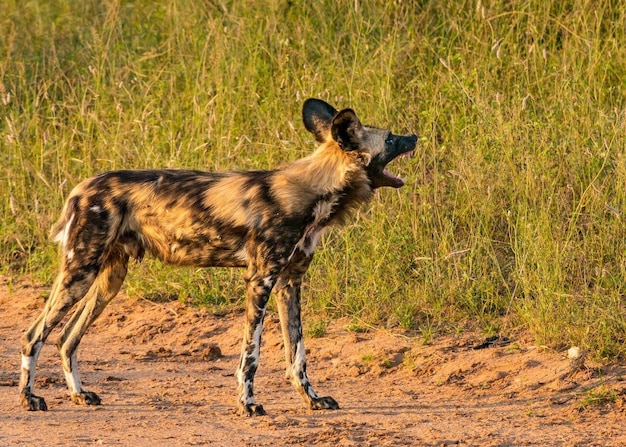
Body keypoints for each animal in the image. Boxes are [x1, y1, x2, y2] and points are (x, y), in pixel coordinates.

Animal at [19, 98, 416, 416]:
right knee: (34, 333)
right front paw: (248, 404)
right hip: (80, 271)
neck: (315, 191)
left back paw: (79, 394)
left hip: (109, 280)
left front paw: (312, 400)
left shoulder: (290, 282)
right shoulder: (261, 280)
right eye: (391, 138)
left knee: (66, 337)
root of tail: (80, 188)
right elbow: (251, 355)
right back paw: (29, 398)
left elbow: (297, 355)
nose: (415, 136)